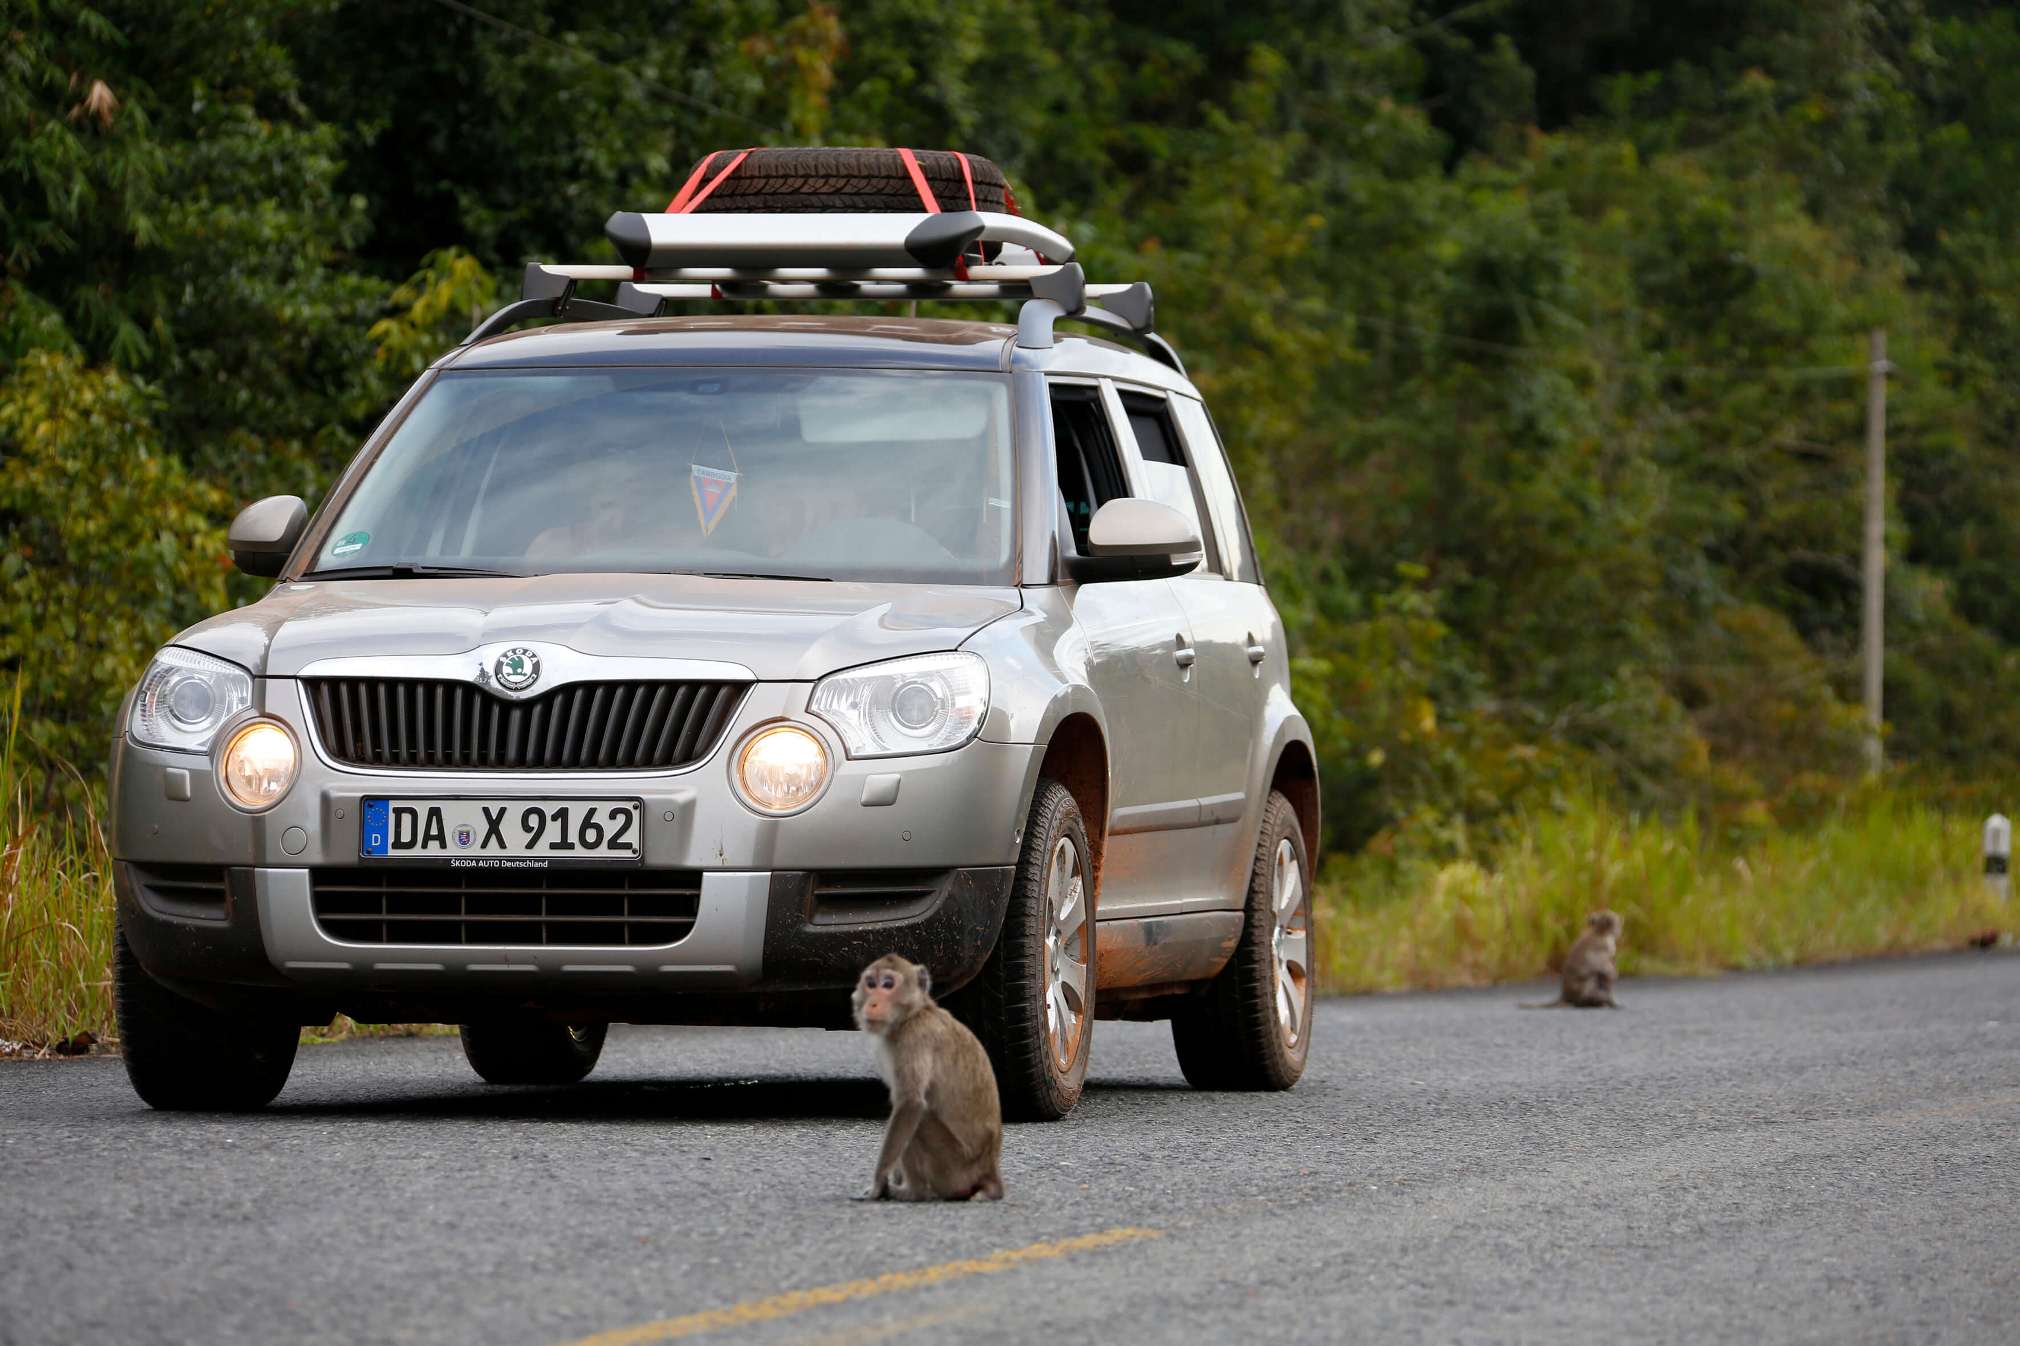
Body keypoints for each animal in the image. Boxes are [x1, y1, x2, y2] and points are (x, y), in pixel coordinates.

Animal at [851, 954, 1005, 1202]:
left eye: (888, 984)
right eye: (871, 983)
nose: (872, 1003)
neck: (914, 1013)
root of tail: (989, 1168)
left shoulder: (914, 1039)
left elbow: (910, 1104)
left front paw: (878, 1184)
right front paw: (892, 1176)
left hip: (952, 1167)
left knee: (920, 1117)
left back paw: (913, 1192)